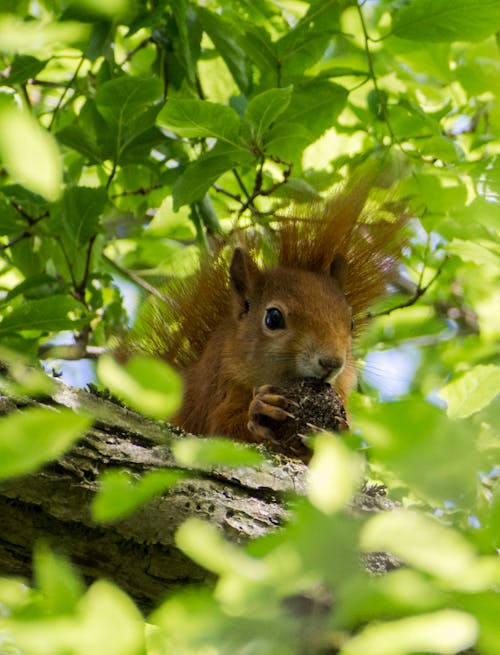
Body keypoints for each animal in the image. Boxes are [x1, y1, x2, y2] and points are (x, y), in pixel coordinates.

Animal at [133, 174, 406, 452]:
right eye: (273, 318)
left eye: (350, 323)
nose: (332, 363)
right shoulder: (213, 392)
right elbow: (221, 428)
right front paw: (260, 410)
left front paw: (336, 431)